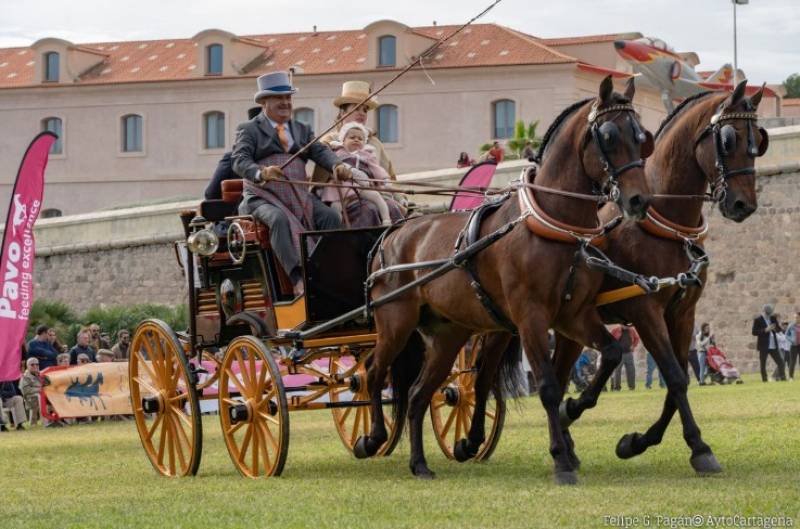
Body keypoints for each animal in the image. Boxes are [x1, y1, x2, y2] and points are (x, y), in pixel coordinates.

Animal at [355, 76, 653, 484]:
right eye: (608, 135)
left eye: (641, 135)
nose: (639, 200)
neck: (552, 223)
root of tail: (392, 233)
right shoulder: (530, 317)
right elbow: (547, 386)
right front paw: (561, 459)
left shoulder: (573, 315)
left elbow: (608, 354)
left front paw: (576, 406)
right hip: (396, 322)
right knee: (373, 371)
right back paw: (372, 438)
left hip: (448, 335)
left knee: (417, 394)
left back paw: (419, 463)